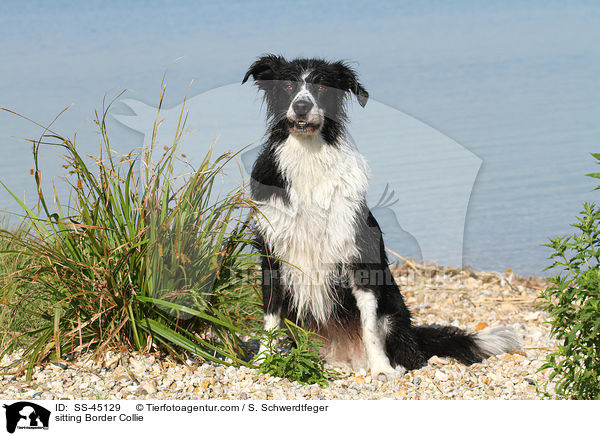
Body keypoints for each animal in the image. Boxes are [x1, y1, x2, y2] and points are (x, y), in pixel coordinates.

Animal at [241, 55, 516, 378]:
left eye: (321, 87)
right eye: (287, 86)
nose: (301, 106)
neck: (308, 156)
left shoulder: (359, 256)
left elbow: (369, 324)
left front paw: (381, 369)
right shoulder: (273, 254)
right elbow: (270, 316)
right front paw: (264, 360)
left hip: (394, 310)